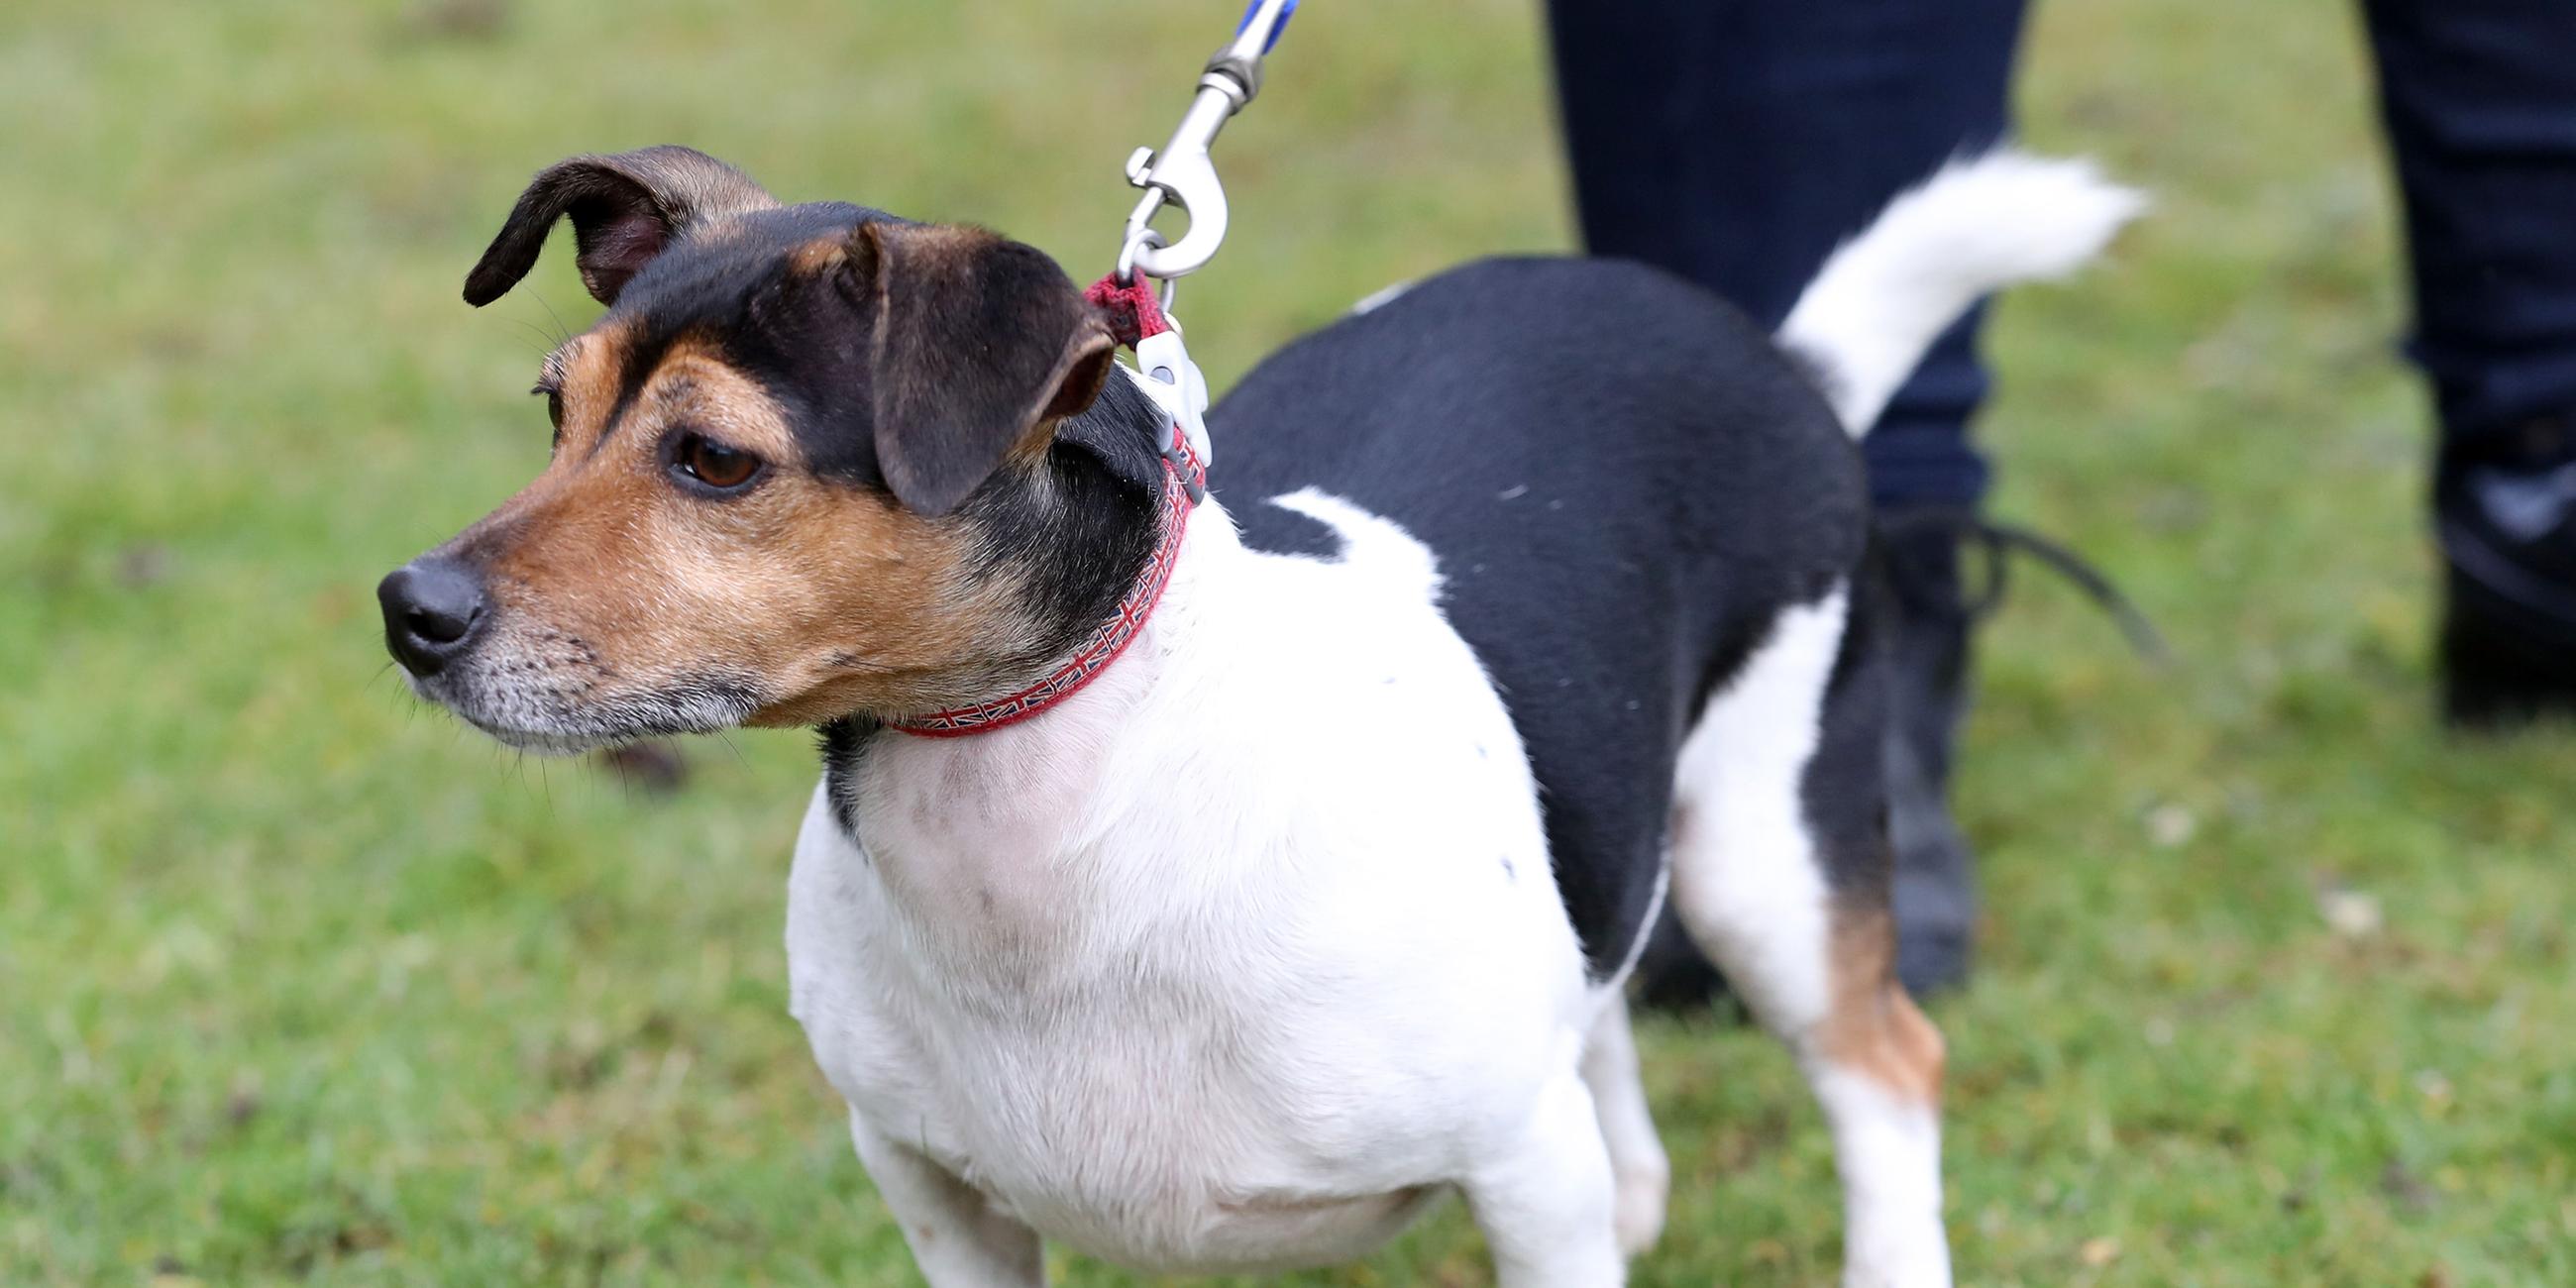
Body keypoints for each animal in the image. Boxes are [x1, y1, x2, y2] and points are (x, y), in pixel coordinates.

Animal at [376, 146, 2132, 1282]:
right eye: (554, 409)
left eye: (714, 461)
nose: (409, 611)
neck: (1052, 829)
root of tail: (1773, 351)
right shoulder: (940, 1195)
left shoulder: (1522, 1178)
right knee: (1607, 986)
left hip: (1771, 851)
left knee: (1885, 1070)